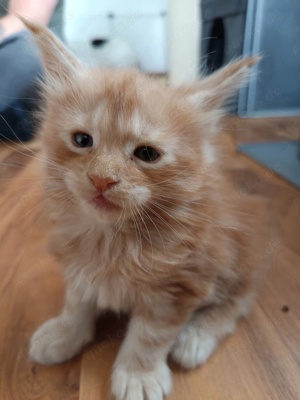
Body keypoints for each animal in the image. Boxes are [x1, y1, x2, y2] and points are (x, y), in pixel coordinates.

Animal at [25, 20, 268, 400]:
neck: (111, 241)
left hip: (238, 255)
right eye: (82, 141)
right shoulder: (79, 263)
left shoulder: (180, 286)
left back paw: (196, 337)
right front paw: (65, 333)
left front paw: (138, 375)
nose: (101, 179)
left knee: (239, 301)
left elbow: (149, 337)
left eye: (147, 154)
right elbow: (77, 302)